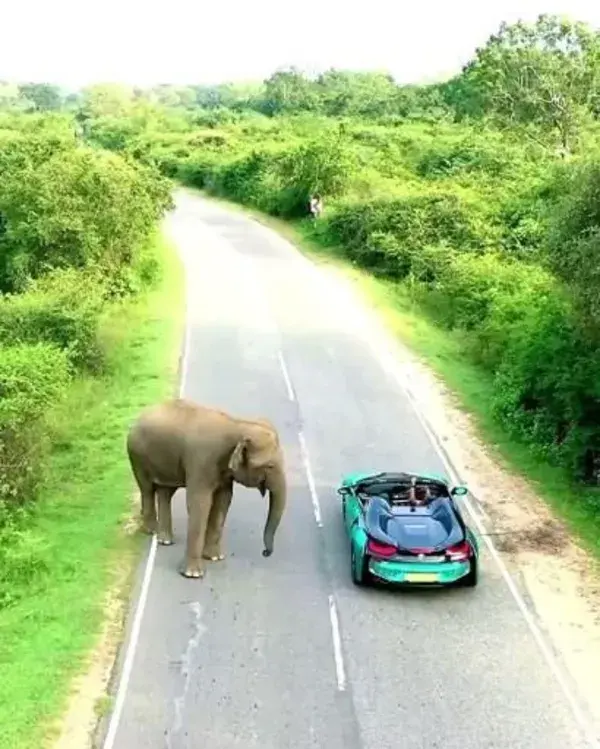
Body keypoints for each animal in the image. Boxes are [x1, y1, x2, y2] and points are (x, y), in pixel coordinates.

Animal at [125, 398, 288, 580]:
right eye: (270, 466)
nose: (265, 552)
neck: (237, 424)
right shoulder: (201, 460)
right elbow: (200, 503)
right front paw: (193, 574)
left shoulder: (223, 471)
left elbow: (223, 500)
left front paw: (215, 558)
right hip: (137, 455)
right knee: (146, 488)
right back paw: (151, 531)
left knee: (165, 491)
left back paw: (164, 540)